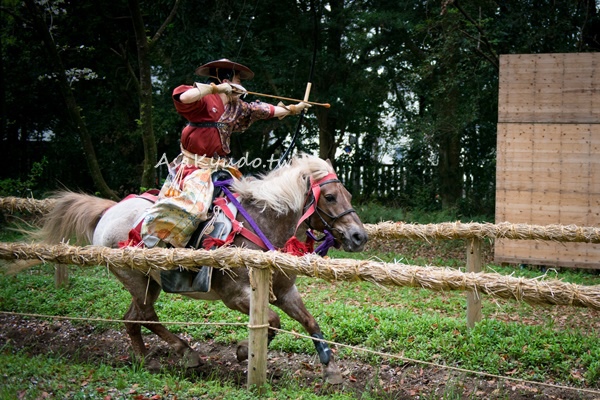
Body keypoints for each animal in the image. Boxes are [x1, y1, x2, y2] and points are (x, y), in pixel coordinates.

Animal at [28, 155, 368, 382]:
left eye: (348, 195)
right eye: (329, 196)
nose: (359, 237)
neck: (262, 225)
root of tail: (108, 212)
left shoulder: (286, 291)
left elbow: (310, 322)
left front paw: (331, 370)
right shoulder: (237, 296)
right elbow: (271, 322)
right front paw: (243, 352)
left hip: (148, 283)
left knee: (132, 318)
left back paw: (147, 359)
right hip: (135, 279)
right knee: (146, 316)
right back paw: (185, 353)